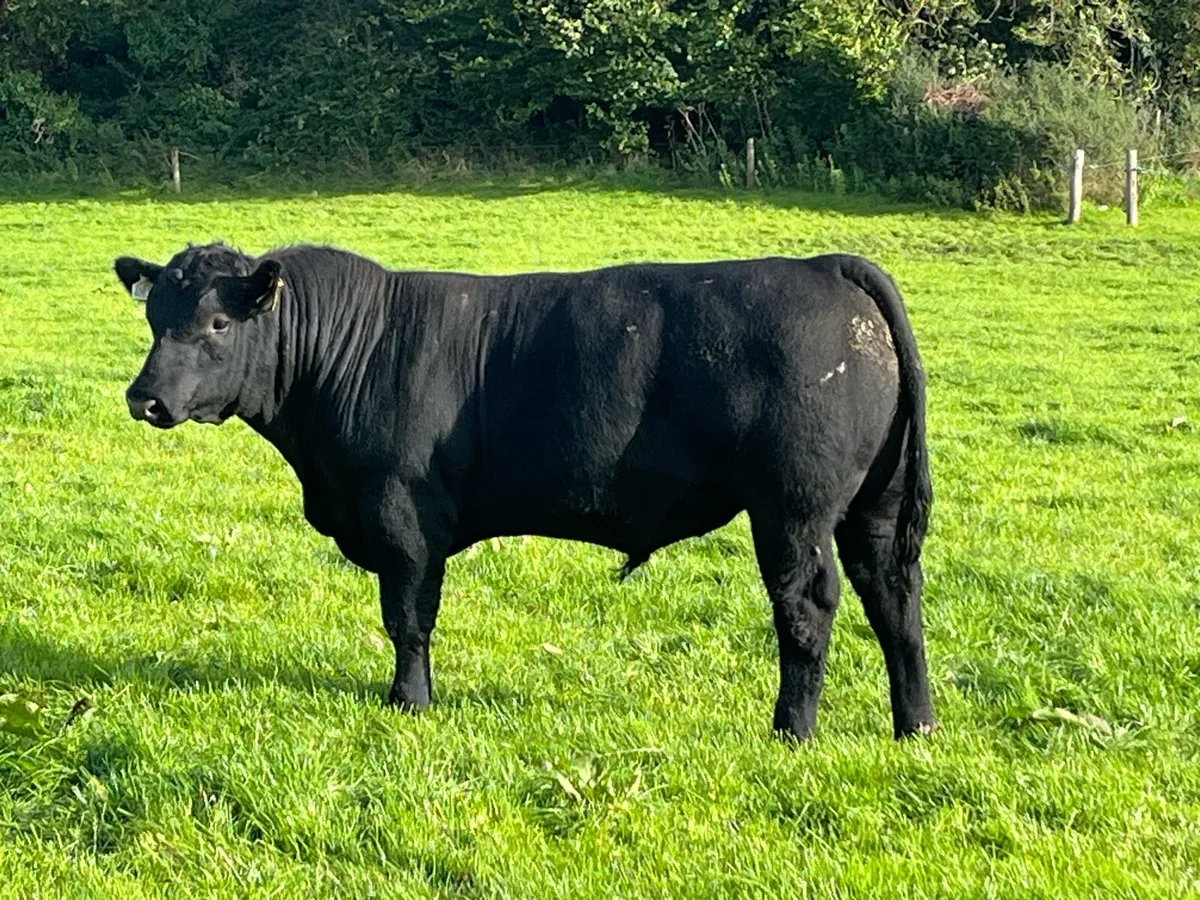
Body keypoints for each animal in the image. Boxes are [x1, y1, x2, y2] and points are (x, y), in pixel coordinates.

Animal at [114, 243, 935, 741]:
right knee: (894, 599)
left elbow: (407, 617)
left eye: (218, 322)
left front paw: (408, 703)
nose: (144, 398)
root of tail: (824, 266)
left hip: (792, 509)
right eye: (153, 319)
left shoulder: (402, 514)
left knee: (807, 609)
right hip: (874, 506)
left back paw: (791, 729)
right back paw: (915, 724)